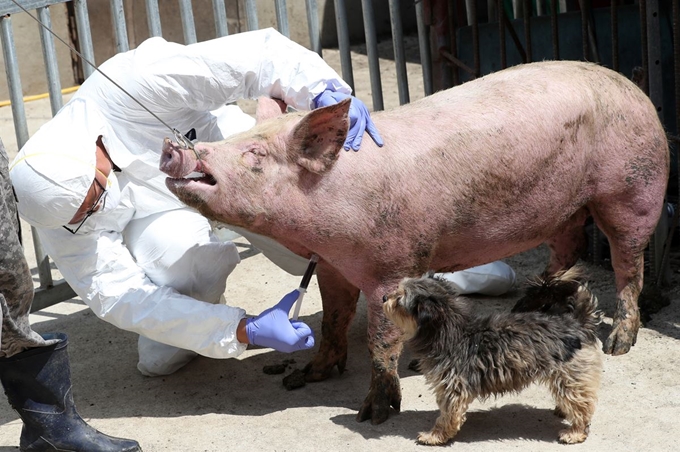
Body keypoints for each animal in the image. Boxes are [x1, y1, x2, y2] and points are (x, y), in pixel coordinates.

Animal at [159, 61, 668, 426]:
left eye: (254, 154)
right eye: (241, 136)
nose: (175, 146)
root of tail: (634, 85)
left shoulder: (392, 264)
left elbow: (382, 339)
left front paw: (372, 415)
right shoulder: (333, 264)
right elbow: (334, 319)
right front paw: (305, 376)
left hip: (632, 187)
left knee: (629, 261)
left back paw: (620, 343)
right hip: (563, 207)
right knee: (568, 245)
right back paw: (530, 303)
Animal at [386, 266, 604, 446]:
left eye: (399, 299)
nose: (383, 298)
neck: (449, 330)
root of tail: (577, 322)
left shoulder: (453, 387)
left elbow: (447, 415)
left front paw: (435, 436)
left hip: (569, 376)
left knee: (582, 406)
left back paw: (575, 432)